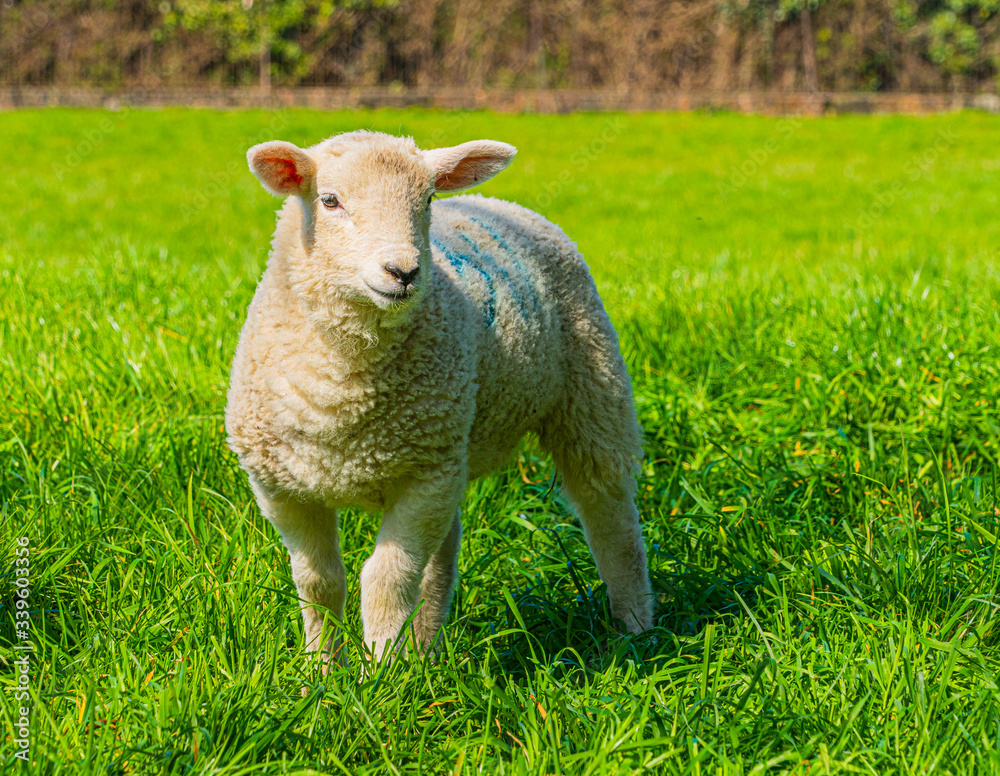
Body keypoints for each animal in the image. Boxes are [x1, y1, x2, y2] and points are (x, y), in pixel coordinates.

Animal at [225, 130, 653, 667]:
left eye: (427, 199)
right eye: (329, 200)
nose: (403, 271)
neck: (341, 392)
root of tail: (498, 203)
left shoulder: (424, 478)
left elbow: (386, 580)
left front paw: (380, 671)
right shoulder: (282, 488)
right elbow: (319, 583)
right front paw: (322, 668)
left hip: (591, 389)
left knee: (610, 514)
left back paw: (636, 629)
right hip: (457, 447)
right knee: (441, 561)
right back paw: (425, 651)